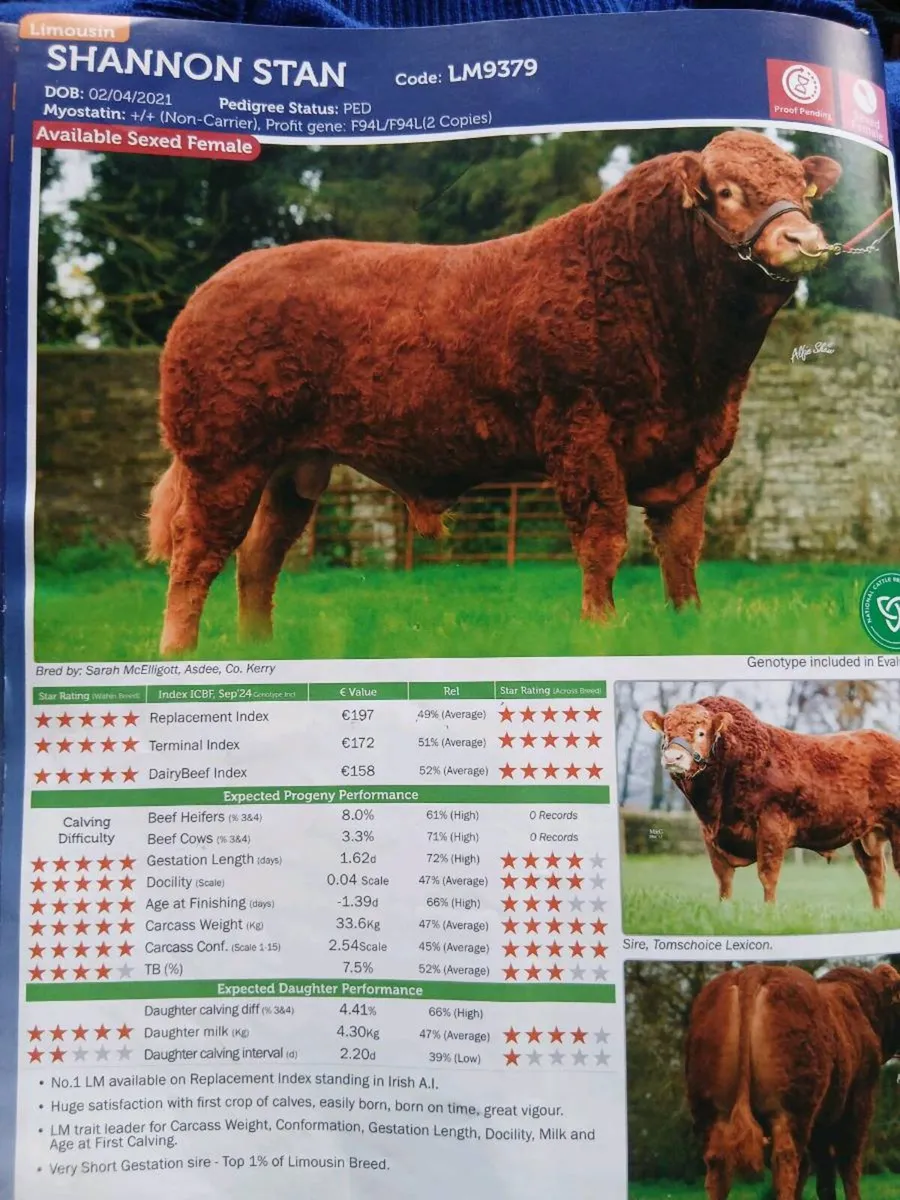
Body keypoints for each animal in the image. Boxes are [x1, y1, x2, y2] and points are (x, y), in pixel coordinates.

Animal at [148, 130, 841, 655]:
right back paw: (180, 655)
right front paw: (599, 633)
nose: (804, 241)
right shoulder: (581, 435)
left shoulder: (691, 457)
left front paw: (689, 630)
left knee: (259, 557)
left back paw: (258, 649)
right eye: (726, 192)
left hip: (294, 466)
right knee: (197, 554)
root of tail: (215, 285)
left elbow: (681, 552)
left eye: (800, 188)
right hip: (222, 457)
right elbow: (602, 542)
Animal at [642, 696, 900, 908]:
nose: (673, 757)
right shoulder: (710, 834)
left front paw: (769, 912)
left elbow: (768, 875)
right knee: (876, 874)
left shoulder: (771, 826)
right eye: (665, 732)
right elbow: (724, 879)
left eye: (701, 733)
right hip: (865, 835)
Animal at [685, 962, 900, 1200]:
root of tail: (754, 971)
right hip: (791, 1109)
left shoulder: (822, 1122)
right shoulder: (859, 1101)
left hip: (710, 1110)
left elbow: (825, 1176)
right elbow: (848, 1164)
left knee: (717, 1163)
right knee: (787, 1160)